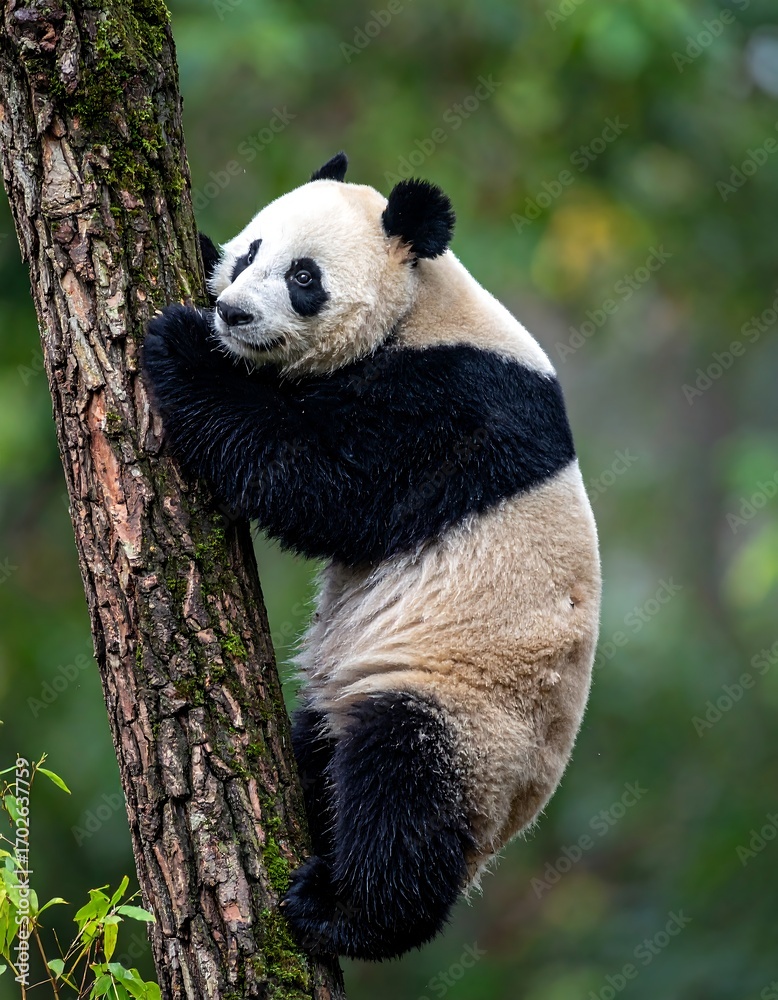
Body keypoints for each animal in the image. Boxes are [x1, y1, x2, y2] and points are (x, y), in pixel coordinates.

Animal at [141, 152, 601, 962]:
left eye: (304, 277)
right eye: (251, 252)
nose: (233, 314)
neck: (420, 305)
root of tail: (508, 828)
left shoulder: (448, 407)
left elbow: (323, 483)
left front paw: (183, 346)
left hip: (472, 712)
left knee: (403, 786)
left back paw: (346, 912)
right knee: (326, 748)